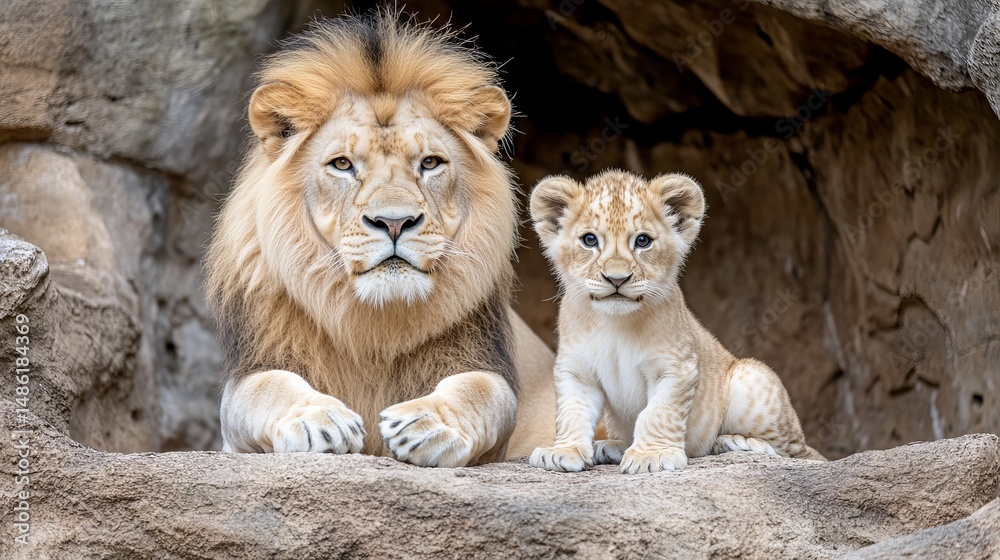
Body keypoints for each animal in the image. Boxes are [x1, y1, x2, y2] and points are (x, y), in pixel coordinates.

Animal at [205, 12, 555, 466]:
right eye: (342, 164)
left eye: (430, 163)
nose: (394, 222)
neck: (376, 322)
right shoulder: (246, 385)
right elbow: (270, 387)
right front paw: (319, 421)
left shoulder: (482, 364)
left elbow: (481, 391)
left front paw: (429, 423)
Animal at [526, 170, 824, 473]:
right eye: (589, 240)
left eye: (643, 241)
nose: (617, 279)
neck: (615, 323)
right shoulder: (576, 370)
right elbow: (572, 411)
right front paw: (563, 451)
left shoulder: (675, 367)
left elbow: (658, 413)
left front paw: (651, 456)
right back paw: (611, 447)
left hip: (751, 376)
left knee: (800, 452)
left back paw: (734, 442)